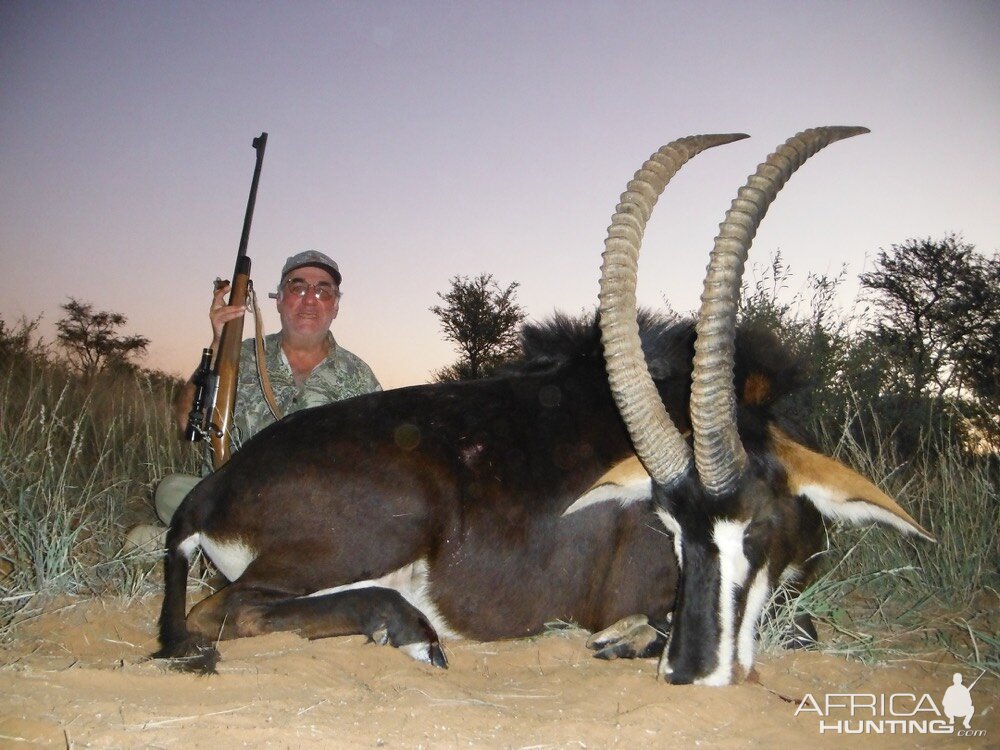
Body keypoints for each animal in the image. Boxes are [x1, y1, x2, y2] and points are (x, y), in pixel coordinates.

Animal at [154, 128, 928, 680]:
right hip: (378, 529)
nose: (693, 669)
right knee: (228, 610)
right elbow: (796, 623)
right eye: (669, 530)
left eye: (759, 526)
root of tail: (214, 487)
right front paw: (624, 640)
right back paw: (409, 629)